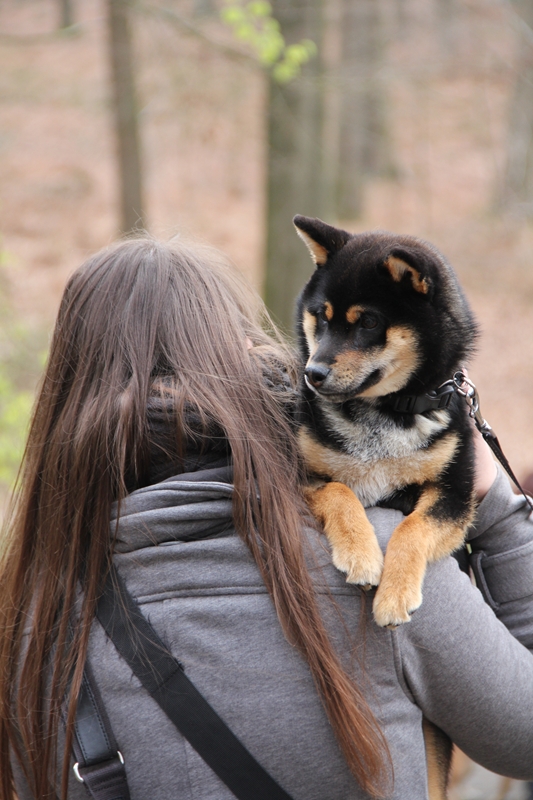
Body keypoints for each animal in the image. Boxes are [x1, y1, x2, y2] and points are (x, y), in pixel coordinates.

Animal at [296, 214, 478, 632]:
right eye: (321, 316)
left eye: (368, 321)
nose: (312, 373)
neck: (384, 413)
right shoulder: (296, 473)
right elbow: (339, 491)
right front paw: (360, 554)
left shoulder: (455, 493)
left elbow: (412, 528)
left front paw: (395, 595)